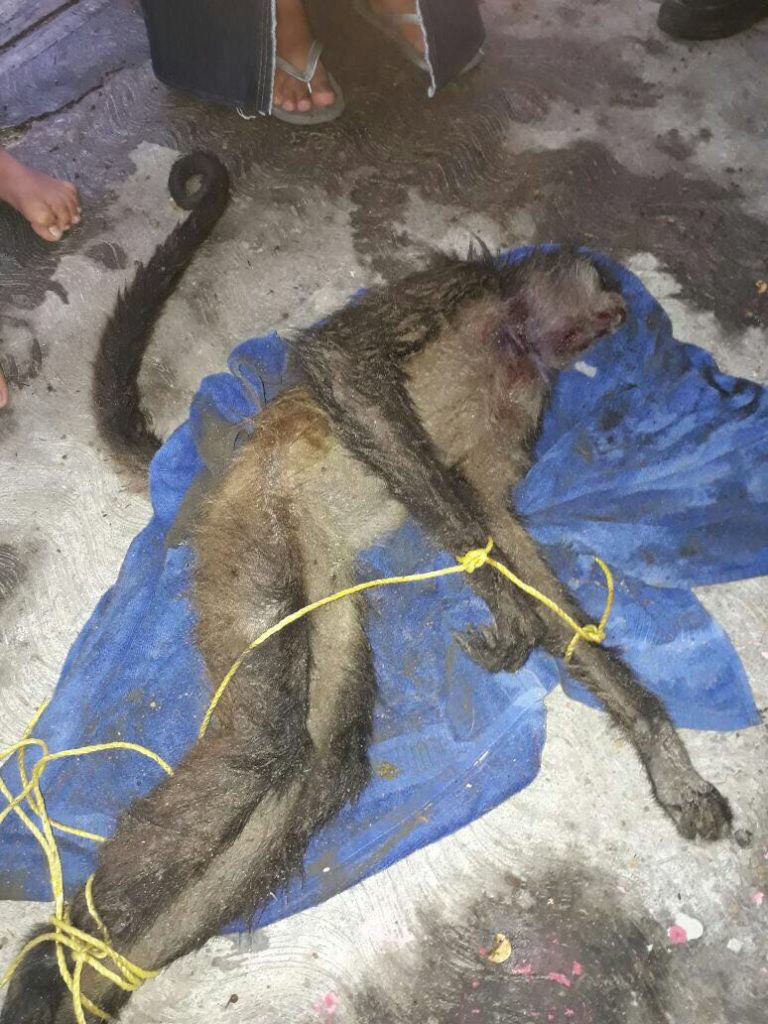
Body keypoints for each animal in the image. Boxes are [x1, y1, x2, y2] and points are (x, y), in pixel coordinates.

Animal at [1, 153, 734, 1024]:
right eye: (604, 301)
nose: (614, 318)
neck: (511, 339)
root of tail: (232, 475)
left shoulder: (525, 392)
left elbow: (498, 519)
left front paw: (665, 756)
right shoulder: (456, 286)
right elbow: (344, 366)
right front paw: (511, 613)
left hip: (320, 573)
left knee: (322, 759)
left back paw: (96, 976)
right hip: (255, 537)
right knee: (265, 746)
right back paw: (56, 969)